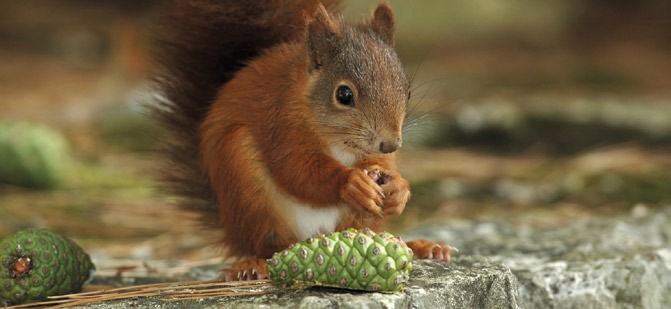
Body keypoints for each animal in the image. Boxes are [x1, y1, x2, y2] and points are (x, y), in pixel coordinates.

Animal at [151, 0, 452, 280]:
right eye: (344, 95)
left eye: (407, 90)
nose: (391, 144)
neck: (339, 142)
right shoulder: (280, 123)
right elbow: (295, 170)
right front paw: (350, 182)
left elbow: (382, 164)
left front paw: (399, 189)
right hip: (246, 187)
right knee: (268, 245)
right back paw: (252, 265)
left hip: (357, 219)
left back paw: (424, 247)